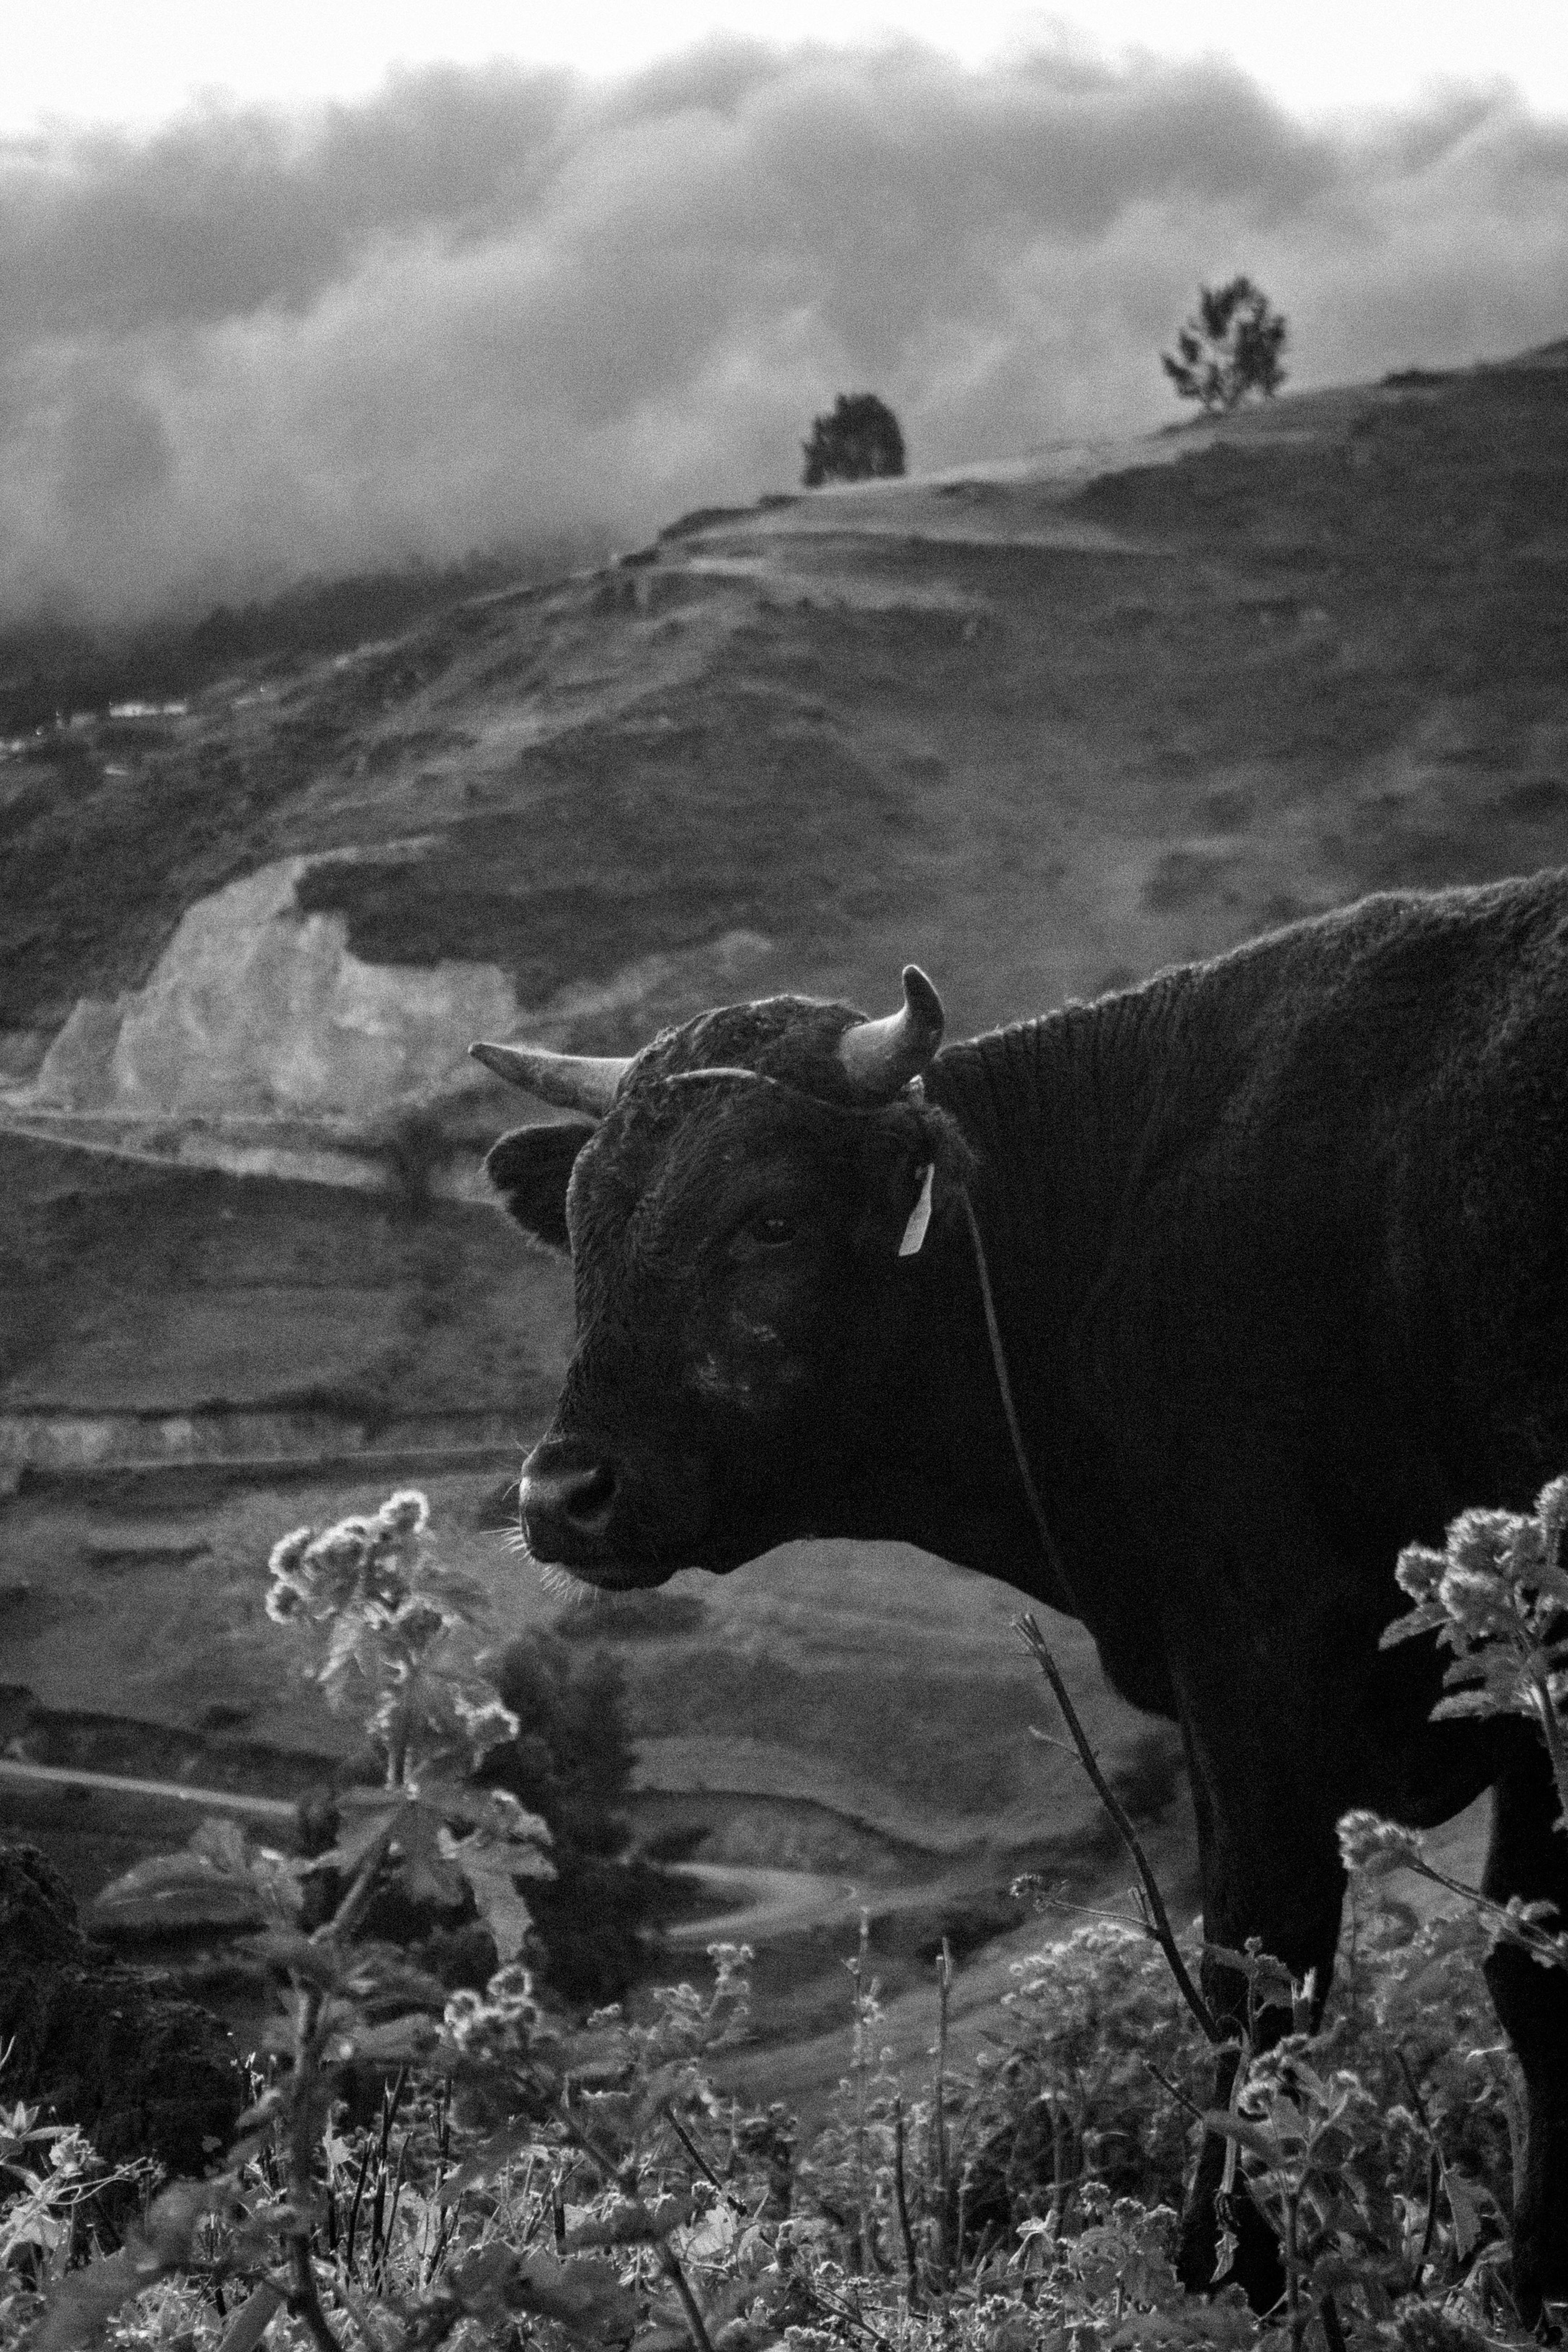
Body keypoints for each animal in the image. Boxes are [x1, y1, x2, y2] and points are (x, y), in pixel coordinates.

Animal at [471, 869, 1568, 2319]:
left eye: (770, 1216)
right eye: (586, 1227)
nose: (560, 1493)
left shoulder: (1268, 1669)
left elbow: (1264, 1977)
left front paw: (1227, 2272)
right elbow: (1500, 1972)